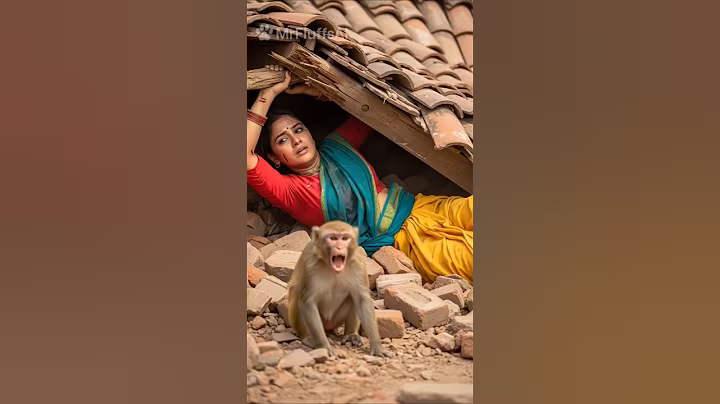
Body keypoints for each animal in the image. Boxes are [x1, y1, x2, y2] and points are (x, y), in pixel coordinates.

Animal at [287, 221, 390, 357]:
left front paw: (377, 347)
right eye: (333, 238)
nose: (340, 247)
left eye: (345, 238)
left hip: (336, 320)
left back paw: (351, 335)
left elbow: (362, 300)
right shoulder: (310, 263)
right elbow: (307, 302)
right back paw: (308, 338)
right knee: (297, 292)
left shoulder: (358, 263)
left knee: (353, 298)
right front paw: (323, 346)